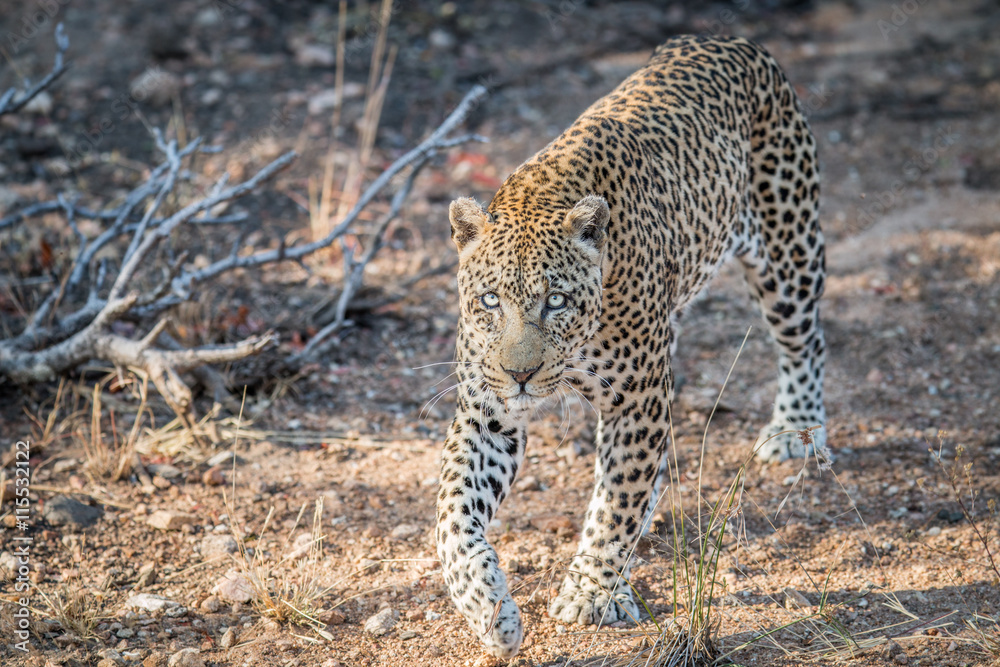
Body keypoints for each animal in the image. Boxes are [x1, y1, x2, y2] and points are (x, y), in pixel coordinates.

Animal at [434, 34, 824, 660]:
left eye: (557, 301)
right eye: (491, 300)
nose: (520, 374)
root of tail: (729, 39)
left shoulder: (635, 401)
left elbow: (615, 503)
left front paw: (591, 593)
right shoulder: (486, 410)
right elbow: (452, 511)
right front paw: (489, 610)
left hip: (789, 251)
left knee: (805, 340)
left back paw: (796, 428)